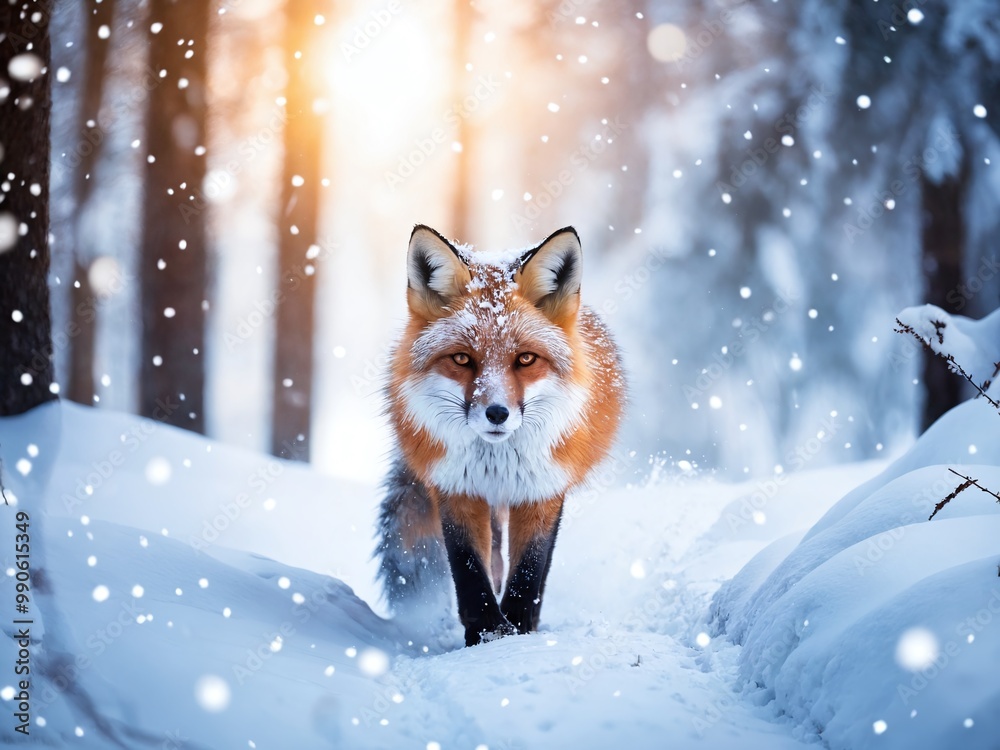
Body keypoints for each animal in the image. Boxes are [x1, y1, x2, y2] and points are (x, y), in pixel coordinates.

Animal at [375, 224, 625, 647]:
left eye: (525, 359)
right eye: (462, 359)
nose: (497, 413)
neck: (498, 461)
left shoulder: (542, 490)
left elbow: (530, 570)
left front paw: (519, 631)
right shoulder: (456, 488)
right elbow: (469, 571)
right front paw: (487, 633)